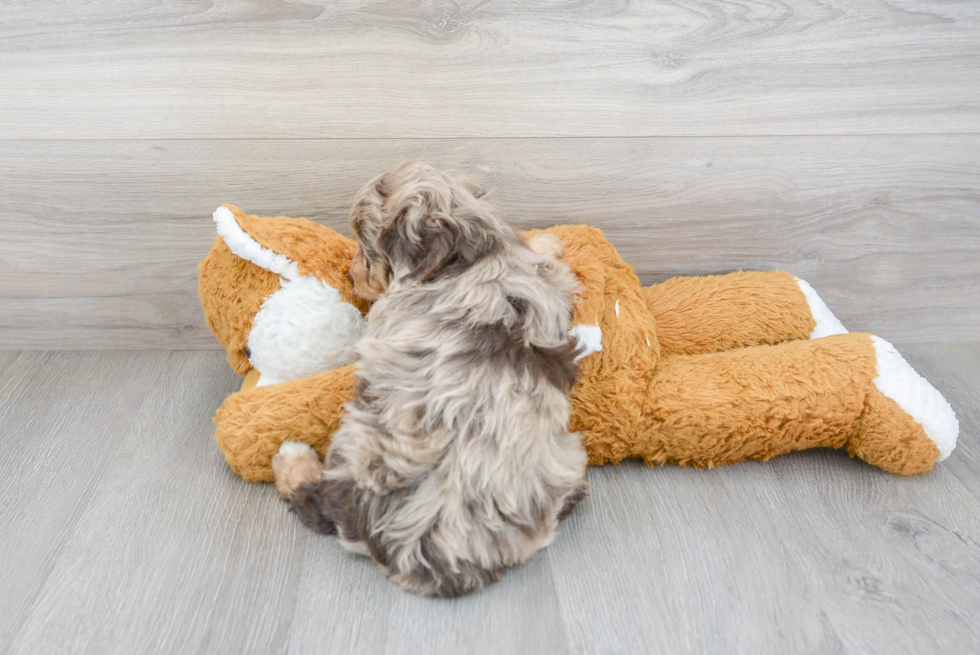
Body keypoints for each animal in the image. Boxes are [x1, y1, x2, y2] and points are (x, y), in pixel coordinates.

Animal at [272, 163, 584, 600]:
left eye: (364, 245)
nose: (349, 274)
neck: (470, 256)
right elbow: (539, 253)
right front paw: (548, 240)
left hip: (355, 446)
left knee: (322, 504)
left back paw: (292, 461)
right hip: (566, 459)